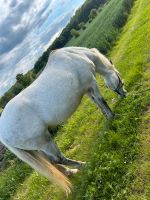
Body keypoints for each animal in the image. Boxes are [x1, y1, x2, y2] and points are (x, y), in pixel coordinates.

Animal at [0, 46, 126, 193]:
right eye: (120, 79)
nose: (124, 94)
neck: (77, 55)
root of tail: (3, 134)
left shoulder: (87, 89)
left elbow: (97, 103)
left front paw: (107, 116)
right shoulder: (91, 83)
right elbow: (101, 100)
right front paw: (112, 116)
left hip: (38, 149)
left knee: (53, 163)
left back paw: (71, 172)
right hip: (46, 143)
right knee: (58, 159)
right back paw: (83, 165)